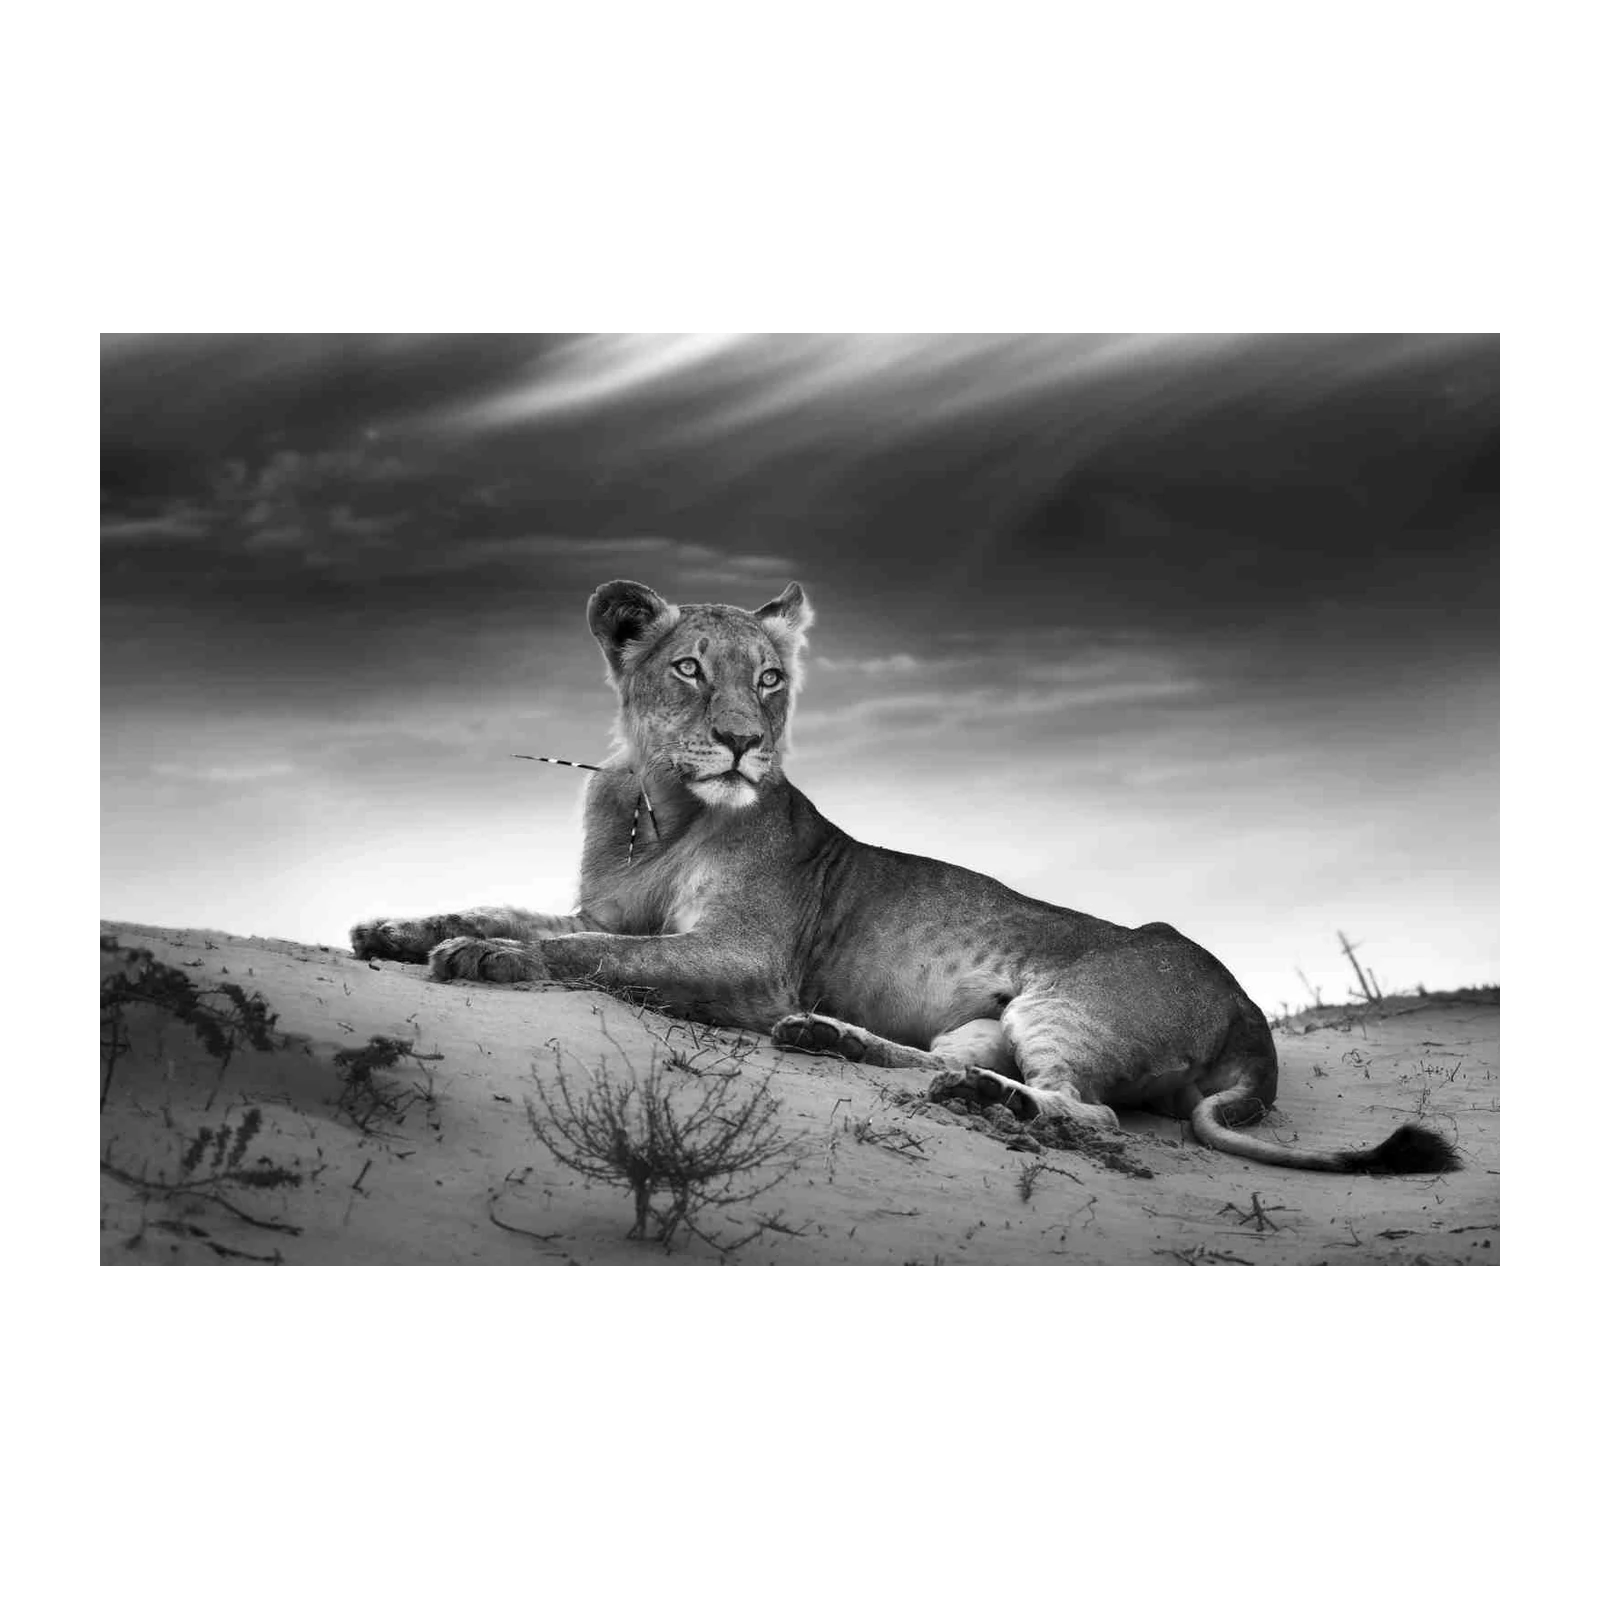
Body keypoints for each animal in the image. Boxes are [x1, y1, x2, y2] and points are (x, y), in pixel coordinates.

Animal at [352, 579, 1458, 1175]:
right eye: (689, 669)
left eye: (770, 678)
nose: (744, 744)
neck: (658, 807)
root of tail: (1252, 1020)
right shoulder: (611, 906)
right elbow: (525, 912)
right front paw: (396, 931)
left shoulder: (748, 960)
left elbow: (592, 954)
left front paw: (488, 958)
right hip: (985, 1018)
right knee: (946, 1060)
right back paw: (837, 1042)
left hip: (1068, 1003)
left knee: (1085, 1111)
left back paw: (976, 1100)